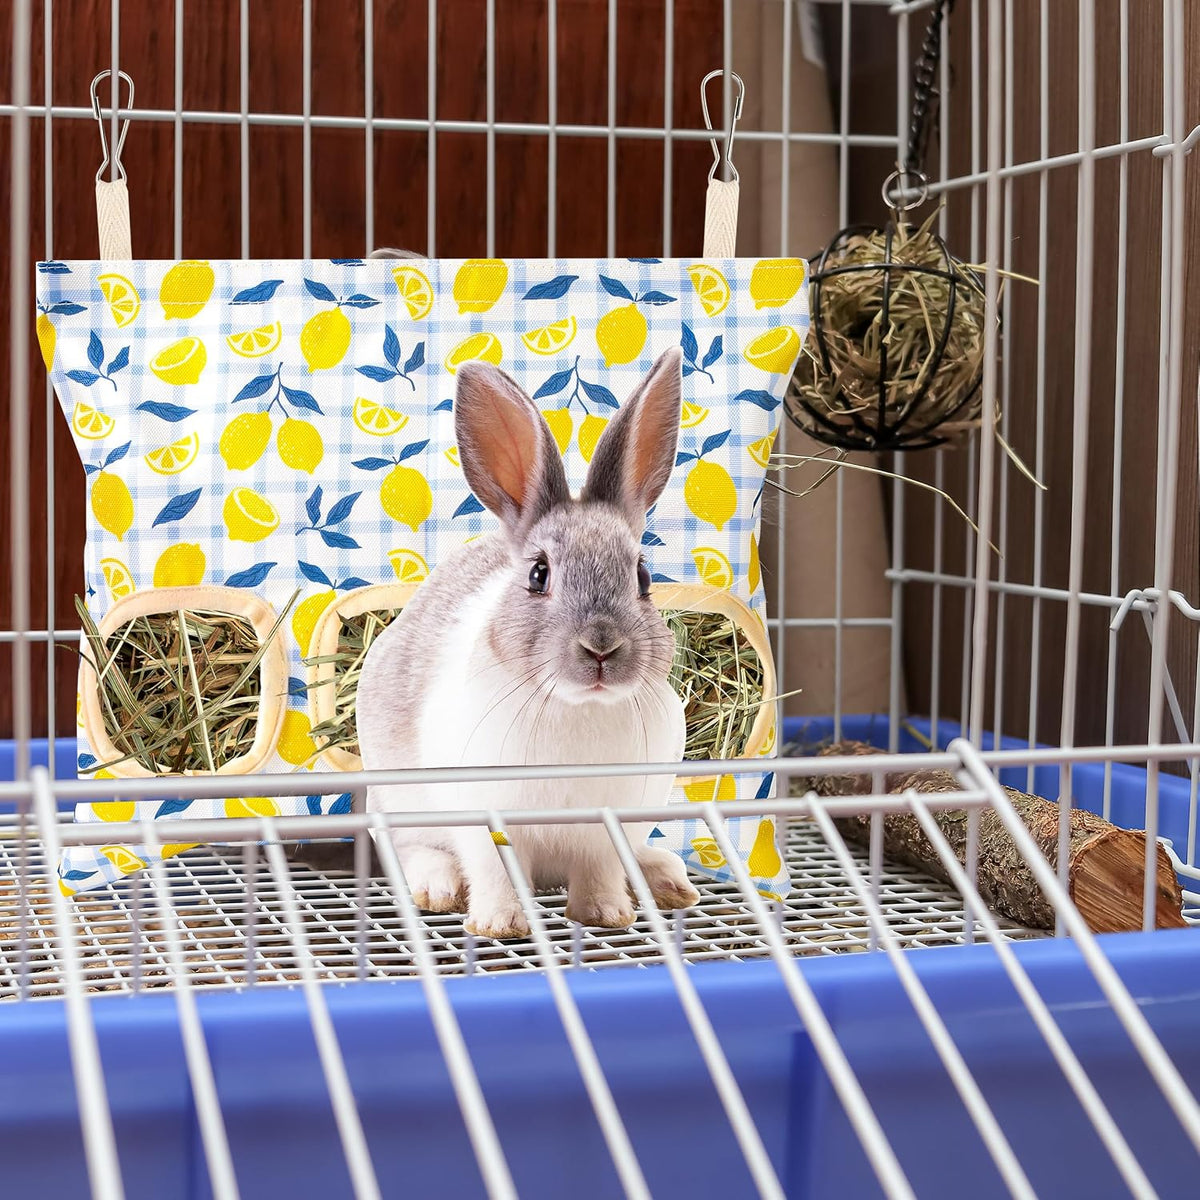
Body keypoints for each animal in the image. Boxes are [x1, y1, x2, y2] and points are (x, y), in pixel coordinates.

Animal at [355, 346, 700, 939]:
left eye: (642, 577)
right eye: (539, 575)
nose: (601, 648)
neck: (578, 707)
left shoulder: (607, 825)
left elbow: (600, 872)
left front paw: (607, 915)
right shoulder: (483, 819)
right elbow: (493, 871)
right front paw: (499, 925)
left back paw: (668, 881)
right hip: (399, 800)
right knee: (409, 847)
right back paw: (437, 888)